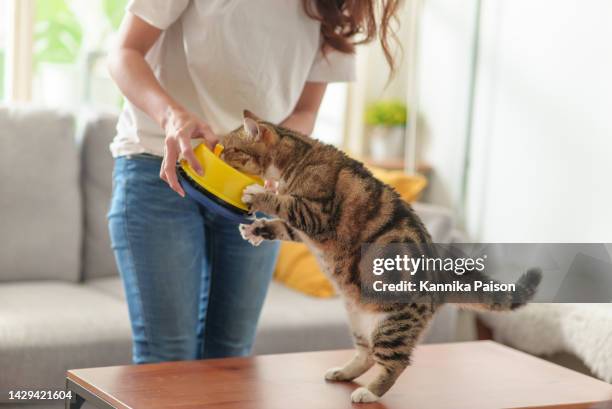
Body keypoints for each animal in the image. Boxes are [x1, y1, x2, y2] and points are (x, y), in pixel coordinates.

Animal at [220, 110, 540, 404]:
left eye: (231, 149)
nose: (218, 152)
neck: (299, 156)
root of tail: (441, 274)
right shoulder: (302, 229)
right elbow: (282, 225)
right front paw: (257, 229)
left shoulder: (315, 214)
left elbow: (283, 204)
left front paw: (257, 194)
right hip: (358, 319)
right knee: (368, 354)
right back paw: (342, 373)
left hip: (393, 325)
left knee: (396, 362)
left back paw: (369, 392)